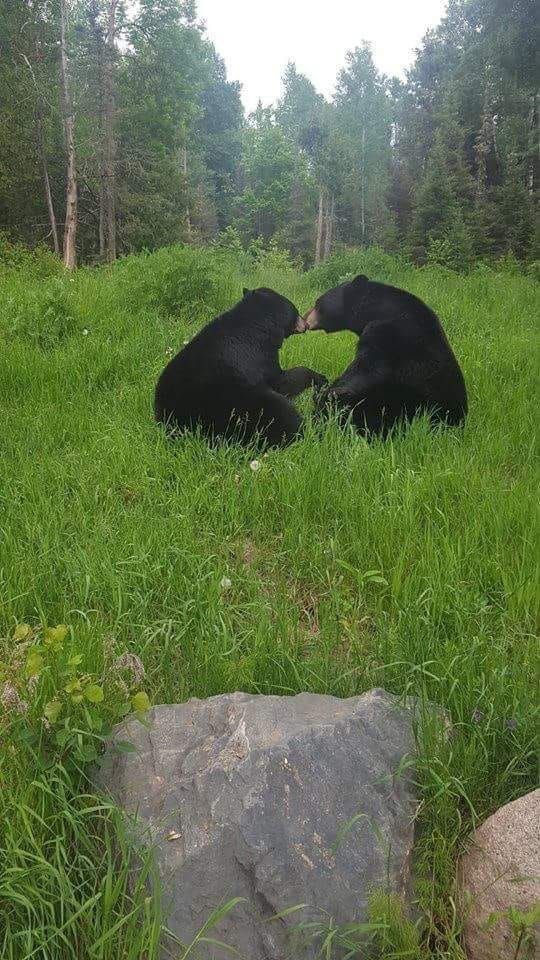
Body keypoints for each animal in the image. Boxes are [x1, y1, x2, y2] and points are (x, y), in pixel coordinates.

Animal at [155, 287, 327, 447]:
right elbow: (282, 381)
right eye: (295, 311)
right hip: (247, 407)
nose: (306, 323)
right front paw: (319, 377)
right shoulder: (260, 357)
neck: (256, 325)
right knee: (283, 412)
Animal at [304, 275, 467, 437]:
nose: (305, 318)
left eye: (318, 303)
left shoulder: (386, 333)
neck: (378, 310)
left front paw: (327, 393)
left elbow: (368, 368)